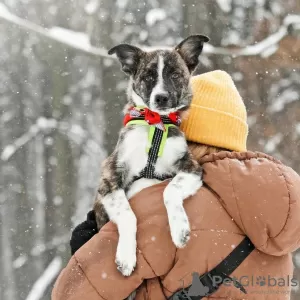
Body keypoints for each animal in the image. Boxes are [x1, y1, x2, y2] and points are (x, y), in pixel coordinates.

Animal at [94, 34, 209, 276]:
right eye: (147, 76)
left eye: (175, 74)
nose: (161, 98)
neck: (156, 124)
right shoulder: (109, 178)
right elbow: (128, 215)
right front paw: (126, 257)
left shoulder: (191, 167)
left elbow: (170, 190)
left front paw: (180, 229)